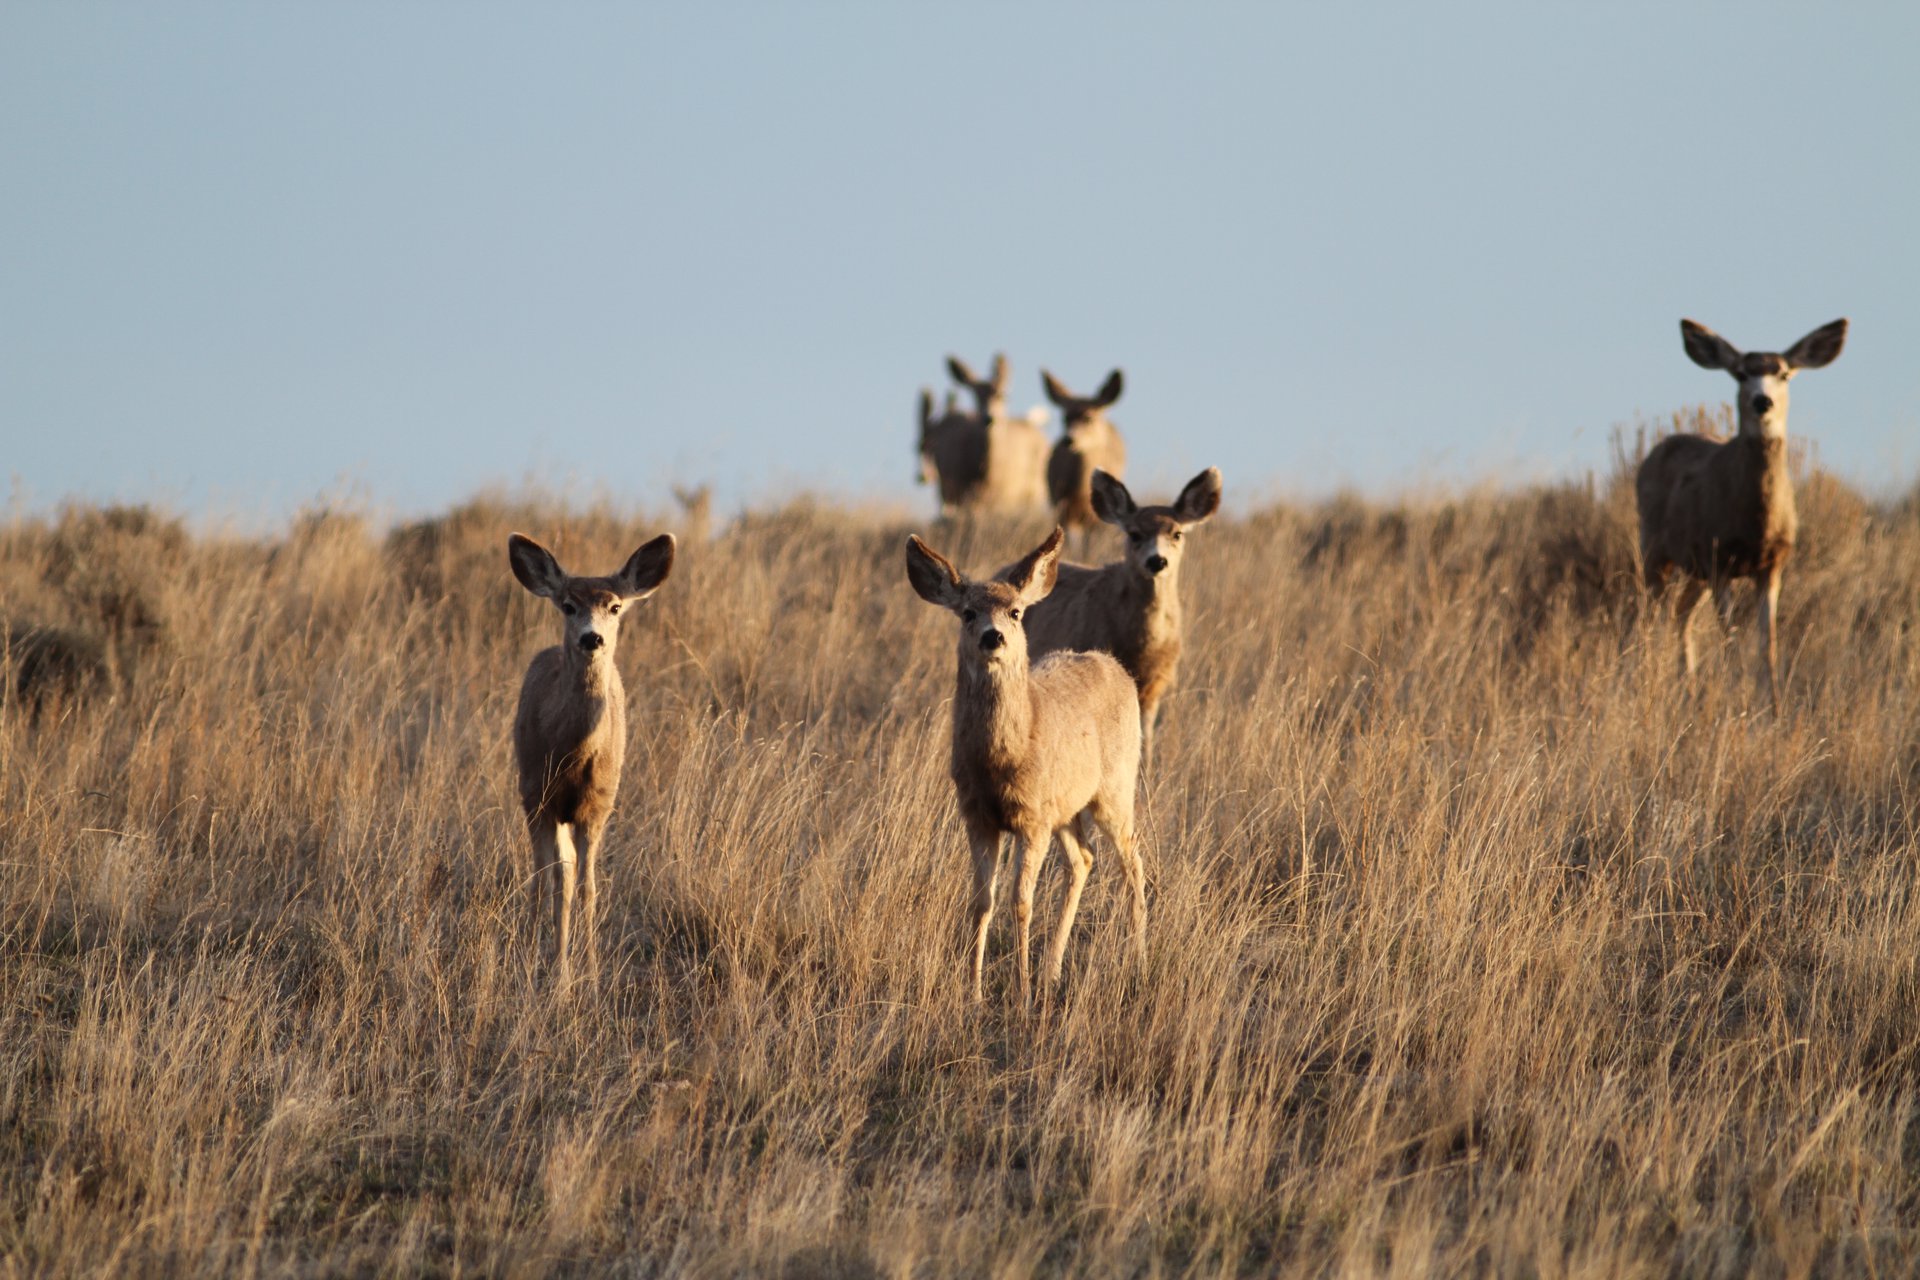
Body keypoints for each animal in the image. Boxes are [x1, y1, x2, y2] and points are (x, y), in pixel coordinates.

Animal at [508, 530, 676, 987]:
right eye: (568, 605)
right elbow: (555, 879)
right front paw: (554, 971)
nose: (591, 638)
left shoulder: (598, 803)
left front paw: (592, 970)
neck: (572, 754)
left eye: (615, 606)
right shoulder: (540, 796)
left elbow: (588, 884)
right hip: (530, 795)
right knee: (545, 873)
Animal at [906, 527, 1146, 1005]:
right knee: (1084, 859)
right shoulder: (978, 815)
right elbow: (982, 901)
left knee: (1133, 861)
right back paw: (1053, 969)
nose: (992, 637)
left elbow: (1020, 901)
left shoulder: (1031, 818)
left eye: (1015, 612)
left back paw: (1141, 964)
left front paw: (1021, 992)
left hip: (1114, 788)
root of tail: (1115, 667)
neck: (1000, 761)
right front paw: (975, 991)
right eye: (968, 613)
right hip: (1066, 809)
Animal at [1014, 468, 1221, 772]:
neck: (1140, 648)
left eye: (1177, 533)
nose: (1157, 561)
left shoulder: (1156, 683)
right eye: (1134, 534)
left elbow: (1146, 735)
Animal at [1040, 367, 1129, 544]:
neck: (1081, 493)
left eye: (1088, 418)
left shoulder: (1098, 518)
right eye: (1065, 418)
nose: (1068, 439)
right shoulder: (1062, 505)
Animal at [1637, 317, 1848, 712]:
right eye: (1740, 373)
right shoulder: (1720, 558)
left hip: (1695, 570)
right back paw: (1646, 684)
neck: (1755, 526)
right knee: (1651, 615)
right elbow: (1731, 638)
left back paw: (1687, 689)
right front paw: (1740, 701)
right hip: (1655, 550)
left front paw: (1774, 708)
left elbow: (1769, 644)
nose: (1762, 401)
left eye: (1783, 373)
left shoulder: (1773, 564)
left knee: (1679, 614)